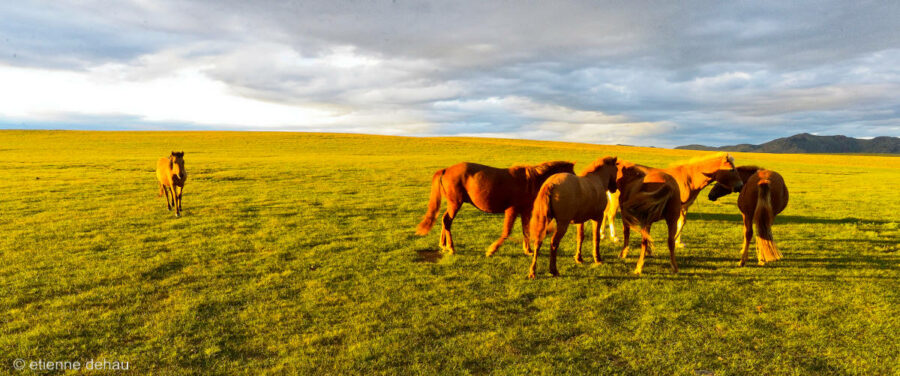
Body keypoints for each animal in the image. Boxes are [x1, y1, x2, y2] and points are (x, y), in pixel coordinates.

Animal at [416, 160, 576, 254]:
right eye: (571, 175)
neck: (530, 181)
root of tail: (446, 170)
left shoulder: (524, 211)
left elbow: (525, 230)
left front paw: (528, 250)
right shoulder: (512, 210)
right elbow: (507, 231)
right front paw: (492, 250)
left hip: (453, 204)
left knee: (445, 220)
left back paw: (443, 244)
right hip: (455, 203)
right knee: (447, 221)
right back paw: (450, 247)